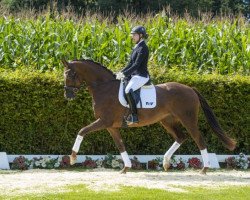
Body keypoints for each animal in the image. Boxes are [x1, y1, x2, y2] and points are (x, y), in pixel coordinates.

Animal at [62, 58, 236, 174]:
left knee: (199, 139)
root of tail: (190, 89)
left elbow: (82, 131)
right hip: (167, 121)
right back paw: (166, 163)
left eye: (69, 75)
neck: (103, 87)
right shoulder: (111, 126)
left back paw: (204, 168)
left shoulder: (104, 121)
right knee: (181, 137)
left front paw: (72, 157)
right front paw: (126, 168)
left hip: (188, 119)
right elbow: (120, 145)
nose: (68, 95)